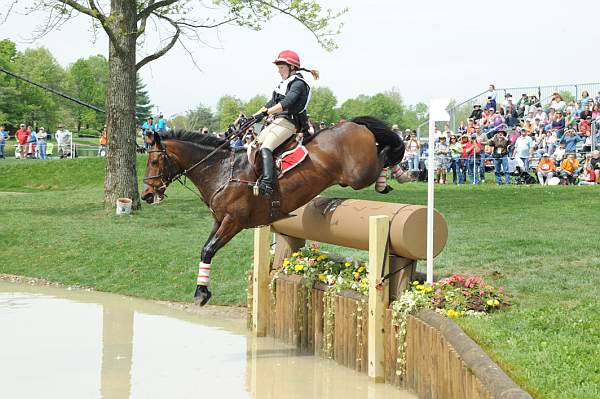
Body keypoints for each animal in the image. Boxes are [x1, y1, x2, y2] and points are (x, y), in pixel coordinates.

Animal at [142, 115, 404, 306]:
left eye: (154, 162)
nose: (146, 195)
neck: (221, 170)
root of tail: (350, 124)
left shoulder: (233, 221)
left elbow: (208, 250)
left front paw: (201, 293)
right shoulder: (220, 220)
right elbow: (205, 249)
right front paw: (201, 290)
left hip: (358, 175)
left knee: (384, 153)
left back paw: (394, 176)